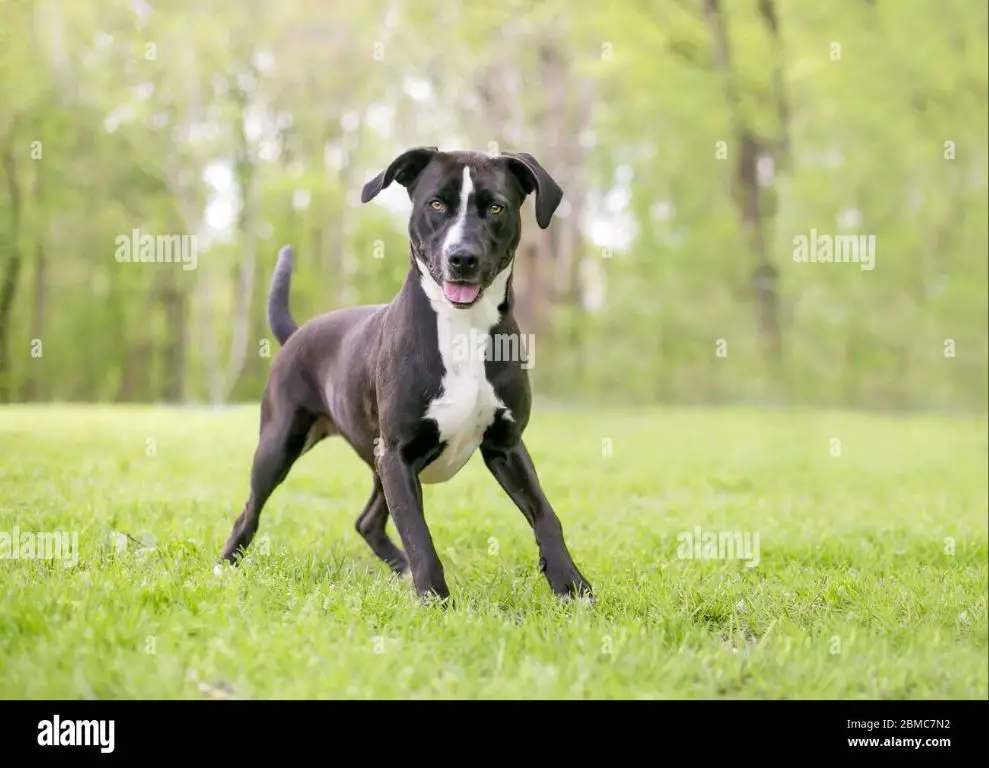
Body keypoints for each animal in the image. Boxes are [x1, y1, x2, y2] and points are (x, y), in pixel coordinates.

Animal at [220, 147, 592, 604]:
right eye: (436, 204)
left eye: (495, 207)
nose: (462, 257)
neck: (460, 326)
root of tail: (298, 332)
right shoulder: (398, 456)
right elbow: (419, 534)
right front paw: (435, 600)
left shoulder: (505, 445)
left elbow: (545, 515)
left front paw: (571, 585)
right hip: (280, 445)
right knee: (249, 512)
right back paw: (225, 566)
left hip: (377, 464)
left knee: (367, 521)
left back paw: (399, 570)